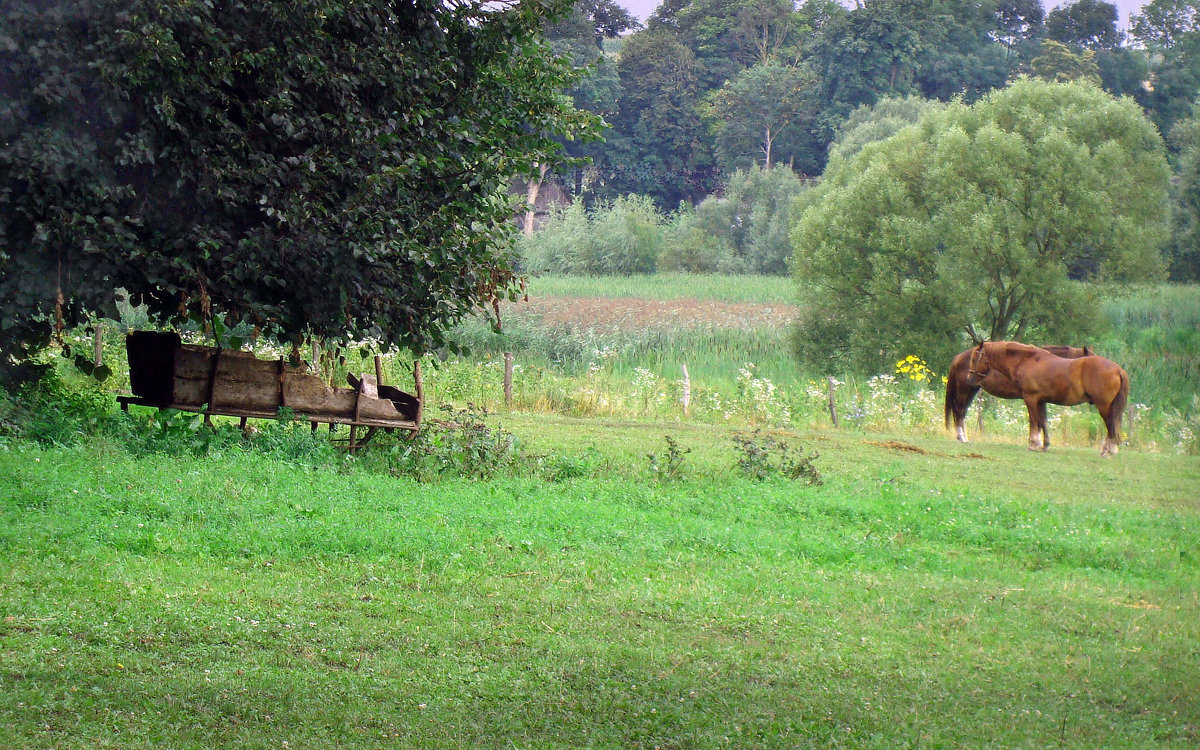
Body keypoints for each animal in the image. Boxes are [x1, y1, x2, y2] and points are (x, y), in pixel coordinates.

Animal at [940, 343, 1094, 441]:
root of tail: (958, 357)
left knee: (962, 412)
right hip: (964, 390)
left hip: (972, 389)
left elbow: (1040, 421)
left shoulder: (1039, 399)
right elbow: (1038, 421)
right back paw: (962, 437)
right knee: (959, 410)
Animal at [969, 340, 1128, 456]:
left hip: (1104, 406)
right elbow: (1043, 422)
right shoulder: (1041, 401)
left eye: (976, 357)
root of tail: (1118, 370)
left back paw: (1108, 451)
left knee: (1111, 426)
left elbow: (1034, 422)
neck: (1028, 360)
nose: (969, 378)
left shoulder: (1031, 399)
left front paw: (1033, 444)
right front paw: (1044, 445)